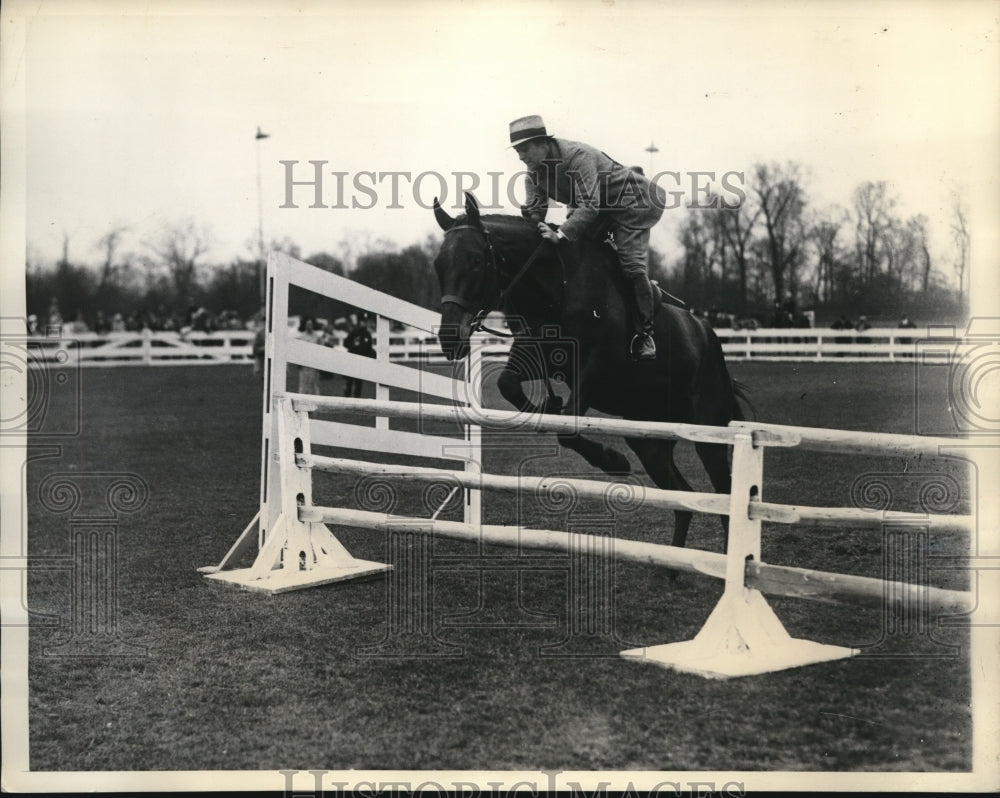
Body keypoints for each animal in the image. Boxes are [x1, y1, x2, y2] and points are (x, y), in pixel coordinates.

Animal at [432, 192, 749, 551]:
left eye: (474, 260)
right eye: (438, 264)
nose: (449, 339)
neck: (556, 287)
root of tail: (707, 334)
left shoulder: (594, 370)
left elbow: (568, 430)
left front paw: (612, 460)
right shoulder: (533, 355)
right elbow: (508, 384)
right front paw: (548, 407)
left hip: (708, 430)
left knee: (723, 494)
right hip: (648, 439)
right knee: (682, 498)